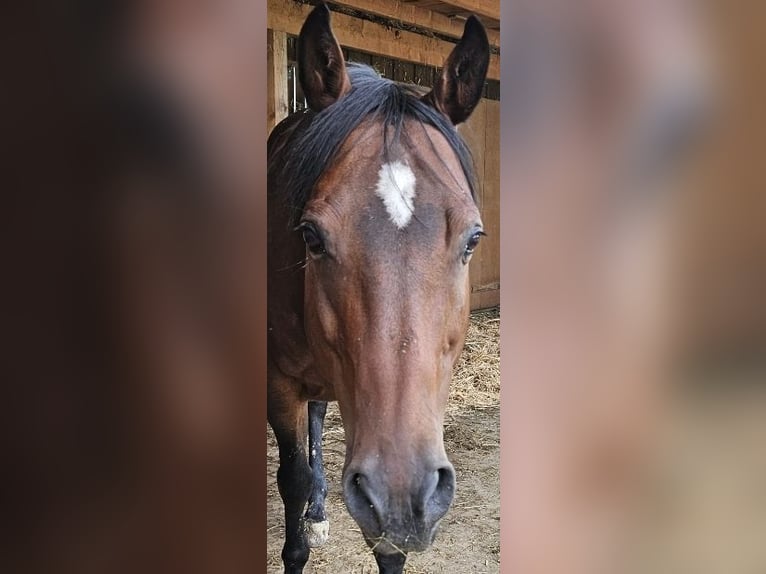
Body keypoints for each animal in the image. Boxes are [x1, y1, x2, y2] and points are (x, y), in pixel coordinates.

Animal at [267, 4, 490, 573]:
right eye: (311, 236)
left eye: (473, 239)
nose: (401, 495)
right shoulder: (279, 385)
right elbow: (292, 478)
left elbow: (389, 546)